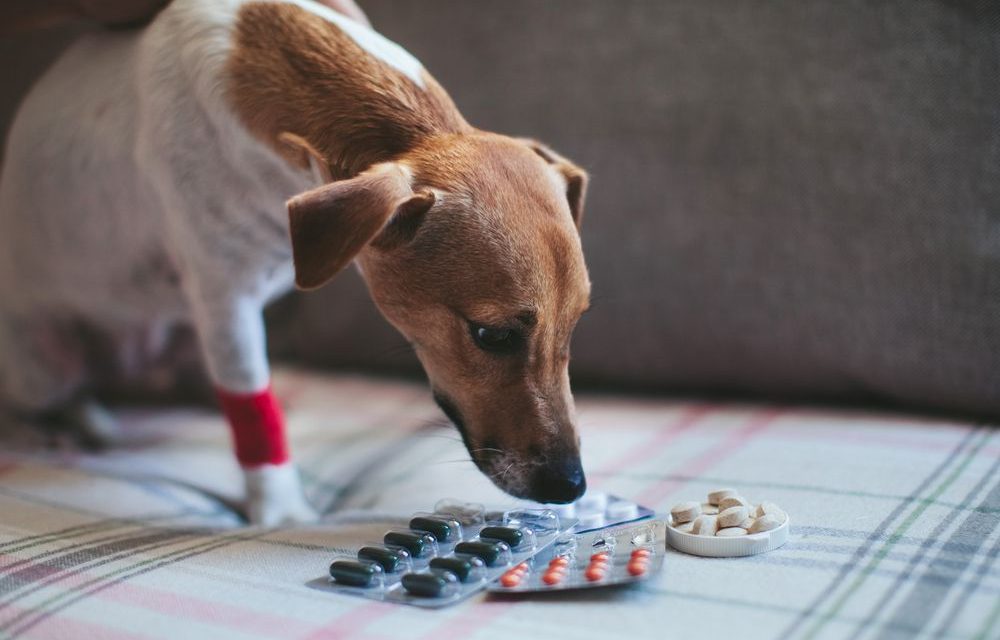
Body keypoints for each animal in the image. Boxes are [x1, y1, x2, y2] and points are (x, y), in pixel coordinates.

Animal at [0, 0, 588, 524]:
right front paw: (282, 513)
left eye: (576, 322)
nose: (572, 487)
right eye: (491, 335)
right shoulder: (227, 304)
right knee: (47, 397)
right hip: (45, 363)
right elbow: (252, 409)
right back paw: (56, 426)